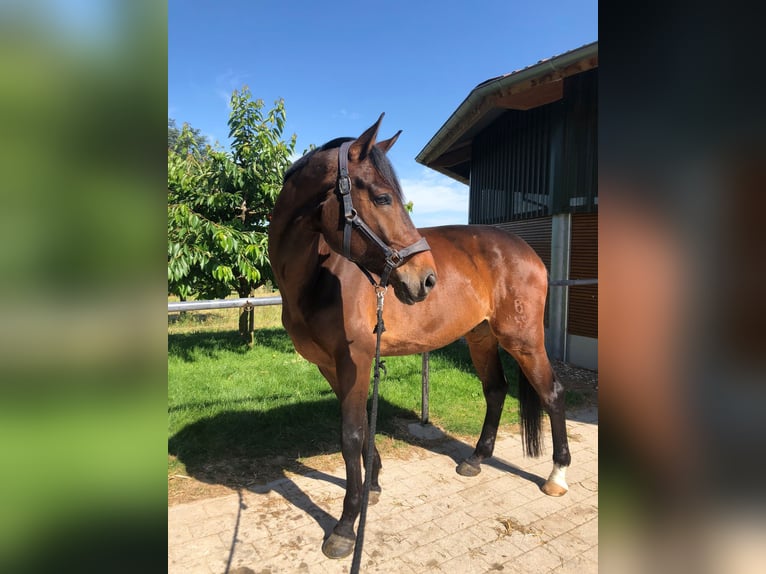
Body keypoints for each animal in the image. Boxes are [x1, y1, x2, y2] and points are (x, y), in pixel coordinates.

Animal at [268, 114, 571, 559]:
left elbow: (351, 435)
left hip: (524, 340)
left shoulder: (354, 361)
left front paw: (345, 526)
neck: (320, 276)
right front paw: (373, 485)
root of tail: (527, 250)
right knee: (496, 390)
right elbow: (361, 427)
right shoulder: (332, 366)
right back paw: (476, 459)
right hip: (481, 338)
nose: (426, 279)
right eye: (382, 198)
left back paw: (557, 475)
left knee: (551, 393)